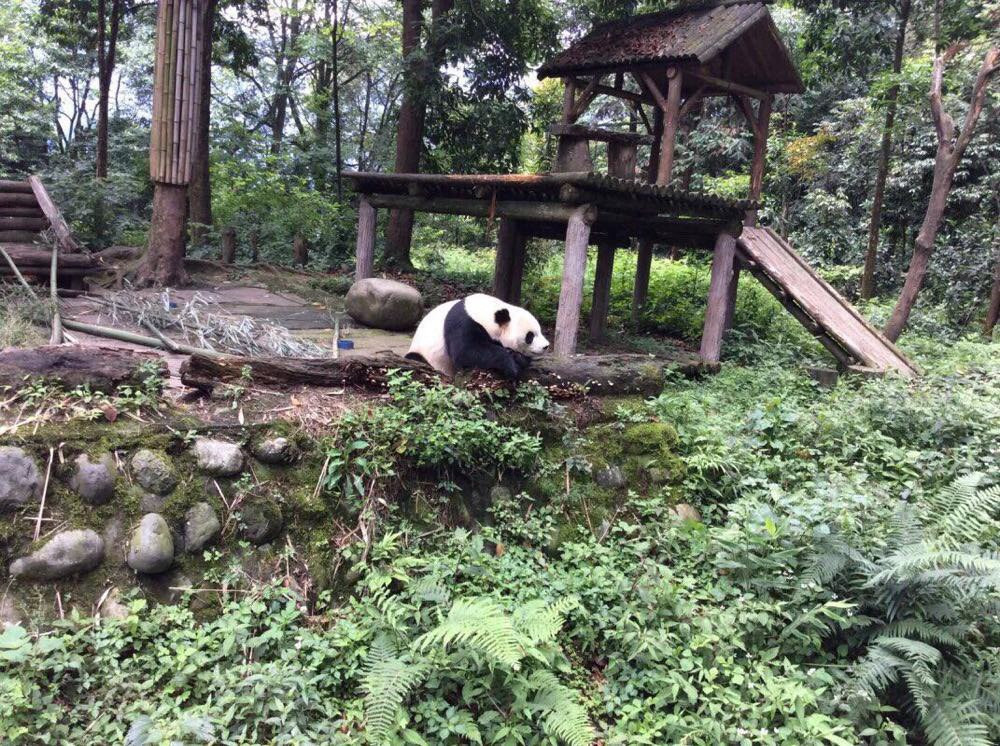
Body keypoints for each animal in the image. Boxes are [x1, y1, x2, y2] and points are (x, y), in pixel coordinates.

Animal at [402, 294, 552, 380]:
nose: (546, 346)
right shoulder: (462, 322)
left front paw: (517, 358)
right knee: (415, 358)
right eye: (530, 336)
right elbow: (466, 352)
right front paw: (511, 366)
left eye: (540, 330)